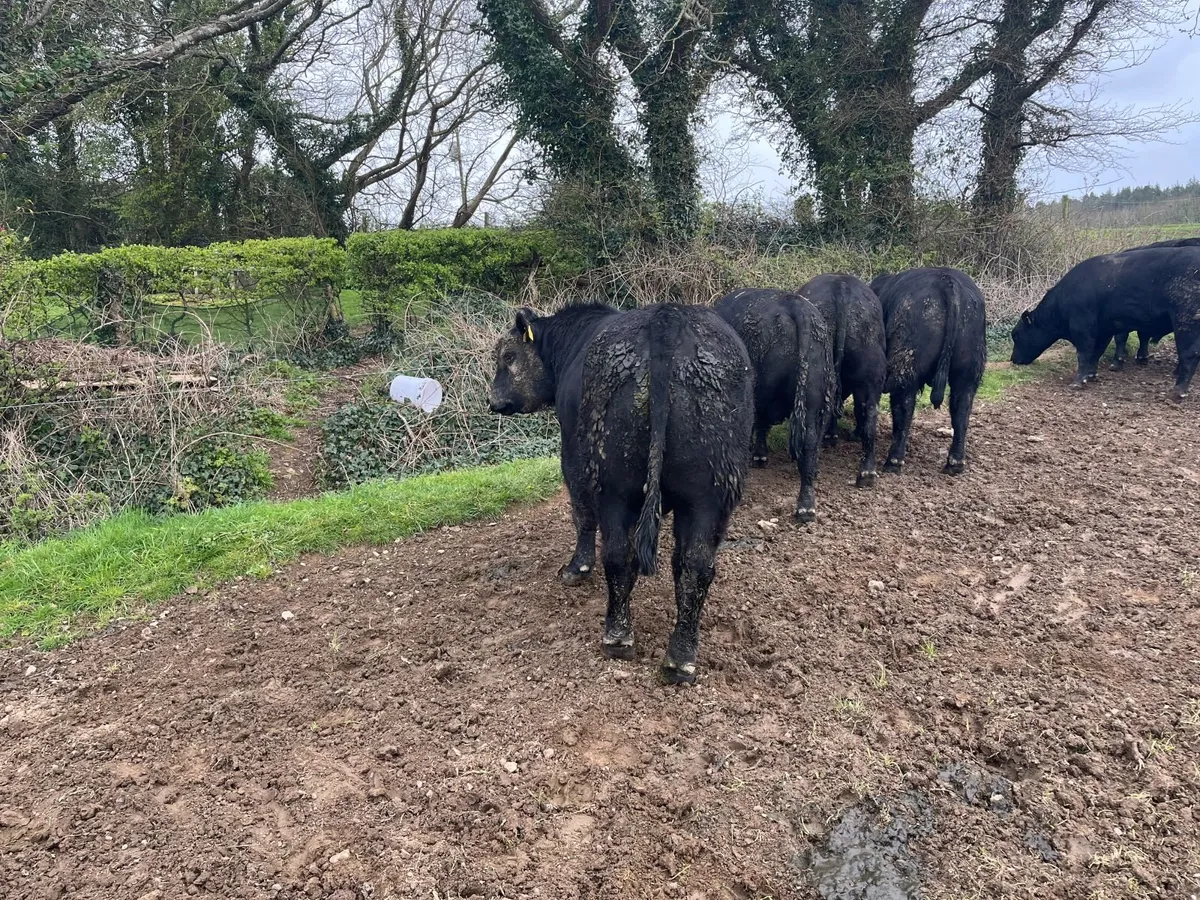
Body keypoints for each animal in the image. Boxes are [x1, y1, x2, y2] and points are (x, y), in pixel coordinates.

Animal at [488, 302, 753, 684]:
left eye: (508, 356)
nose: (493, 402)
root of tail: (667, 316)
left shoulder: (572, 454)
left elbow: (581, 513)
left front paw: (577, 567)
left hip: (612, 485)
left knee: (617, 552)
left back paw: (617, 635)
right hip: (709, 494)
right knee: (695, 565)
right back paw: (680, 657)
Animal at [875, 268, 988, 475]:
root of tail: (947, 280)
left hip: (906, 368)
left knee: (904, 408)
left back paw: (894, 460)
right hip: (968, 373)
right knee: (961, 410)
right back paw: (955, 463)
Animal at [1010, 247, 1200, 399]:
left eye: (1016, 335)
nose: (1013, 359)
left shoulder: (1082, 327)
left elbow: (1084, 353)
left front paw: (1078, 381)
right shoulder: (1104, 329)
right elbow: (1096, 352)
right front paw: (1091, 374)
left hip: (1185, 323)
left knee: (1189, 355)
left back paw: (1178, 391)